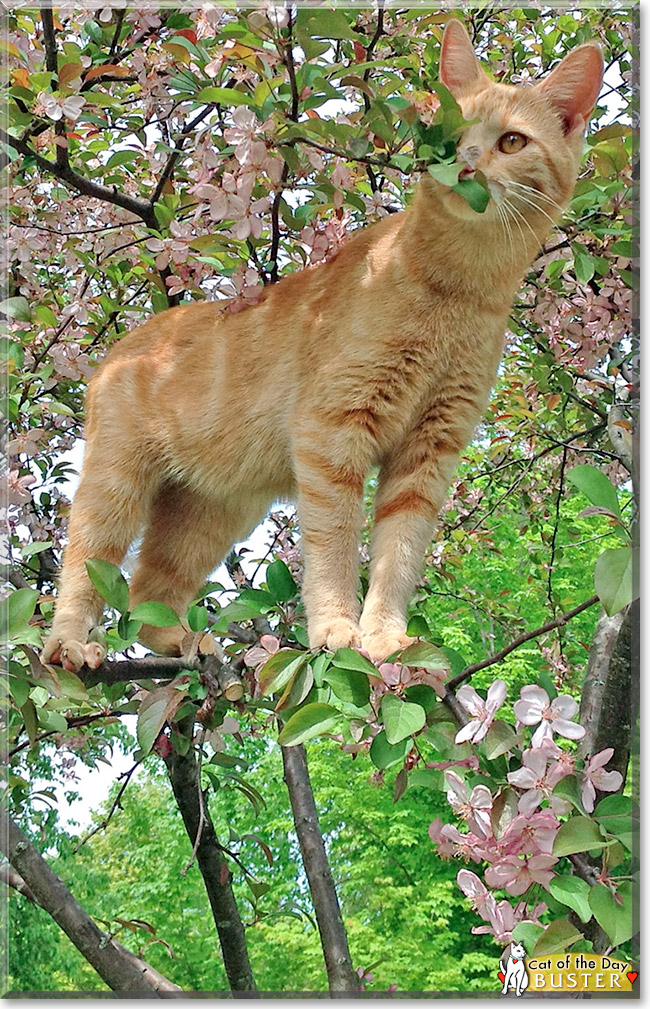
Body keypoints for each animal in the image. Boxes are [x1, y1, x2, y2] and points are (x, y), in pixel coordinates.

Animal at [41, 19, 605, 674]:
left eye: (511, 142)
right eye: (446, 134)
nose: (463, 164)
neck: (456, 290)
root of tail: (126, 342)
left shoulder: (427, 454)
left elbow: (398, 554)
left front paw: (386, 636)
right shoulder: (333, 431)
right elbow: (334, 545)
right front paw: (337, 628)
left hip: (212, 511)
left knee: (148, 591)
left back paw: (185, 641)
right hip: (115, 488)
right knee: (86, 569)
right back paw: (70, 644)